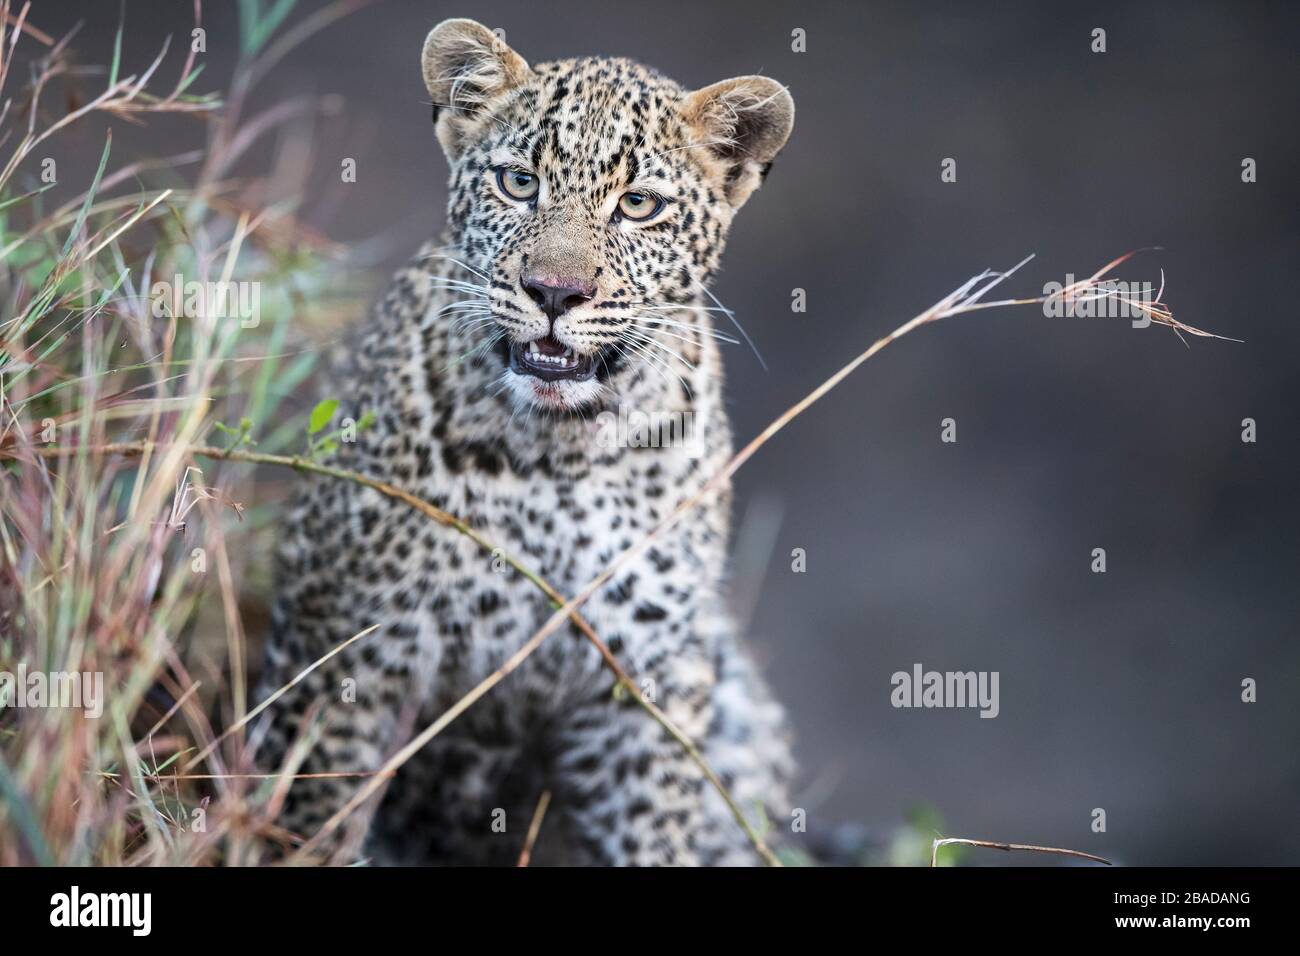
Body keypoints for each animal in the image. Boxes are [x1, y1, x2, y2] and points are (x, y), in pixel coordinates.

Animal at [254, 14, 795, 868]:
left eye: (638, 205)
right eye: (518, 184)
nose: (554, 292)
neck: (558, 454)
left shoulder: (643, 688)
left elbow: (658, 832)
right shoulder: (345, 650)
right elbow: (309, 819)